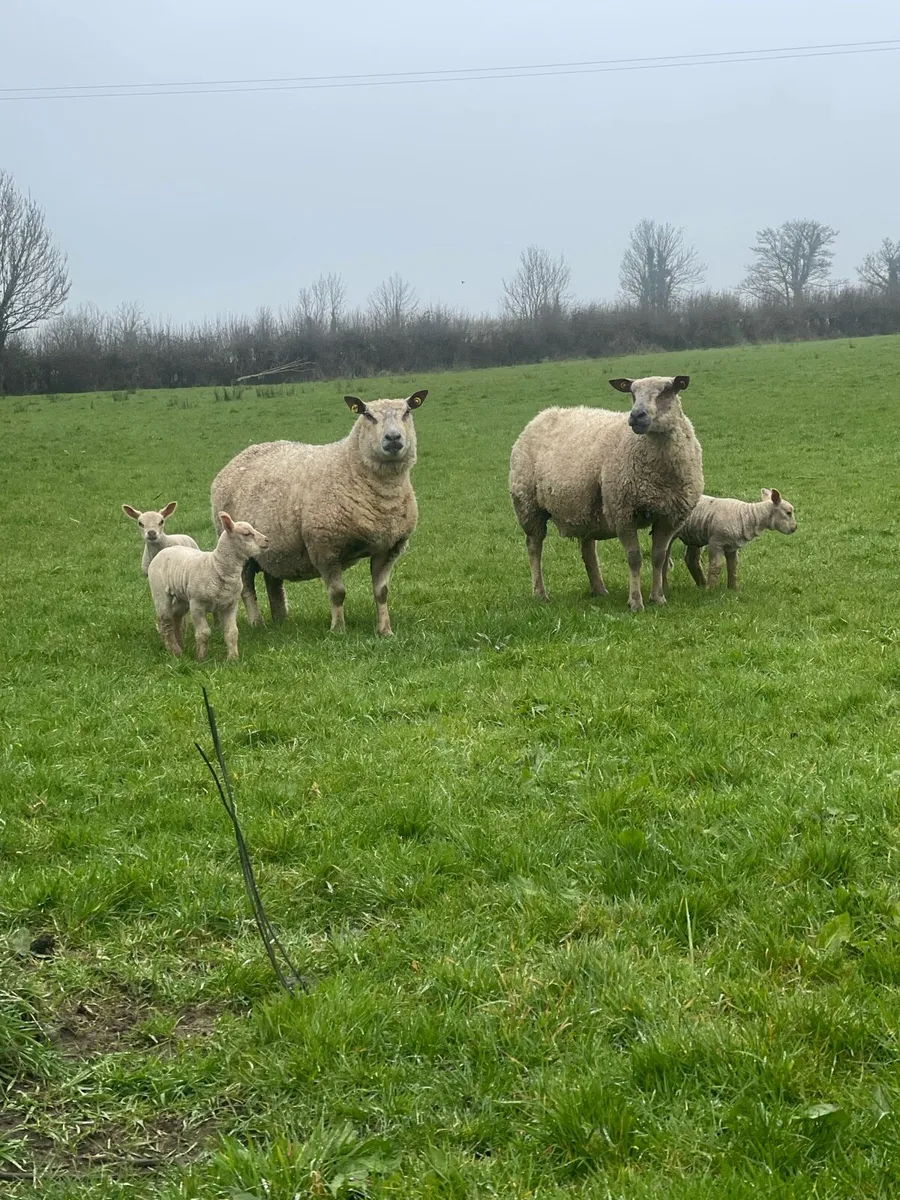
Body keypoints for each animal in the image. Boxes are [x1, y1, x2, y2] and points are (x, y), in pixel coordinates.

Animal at [147, 511, 269, 660]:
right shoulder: (197, 605)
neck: (216, 567)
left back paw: (180, 645)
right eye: (246, 533)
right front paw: (201, 657)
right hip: (160, 591)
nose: (267, 540)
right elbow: (203, 632)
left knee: (176, 616)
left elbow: (232, 632)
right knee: (165, 621)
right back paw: (175, 651)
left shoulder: (230, 605)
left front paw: (233, 658)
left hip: (183, 597)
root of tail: (165, 550)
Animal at [209, 390, 428, 637]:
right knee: (247, 587)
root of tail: (240, 457)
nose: (393, 438)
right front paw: (338, 629)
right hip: (239, 545)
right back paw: (258, 623)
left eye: (407, 412)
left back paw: (281, 621)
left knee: (272, 581)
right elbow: (338, 593)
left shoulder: (389, 547)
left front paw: (385, 631)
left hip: (274, 546)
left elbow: (382, 592)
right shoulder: (325, 546)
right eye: (368, 415)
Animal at [509, 375, 703, 612]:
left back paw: (599, 589)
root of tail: (542, 415)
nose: (636, 415)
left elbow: (658, 557)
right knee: (534, 547)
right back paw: (540, 593)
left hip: (582, 508)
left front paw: (658, 598)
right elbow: (634, 559)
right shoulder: (623, 511)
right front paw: (635, 602)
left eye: (667, 390)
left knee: (588, 549)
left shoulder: (670, 517)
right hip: (528, 505)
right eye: (632, 392)